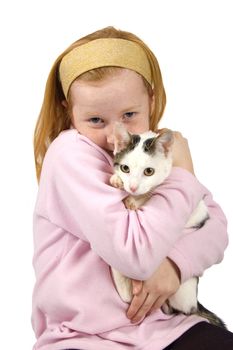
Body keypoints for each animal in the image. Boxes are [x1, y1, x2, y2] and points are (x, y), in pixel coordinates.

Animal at [109, 122, 226, 328]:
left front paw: (139, 199)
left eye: (149, 171)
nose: (132, 188)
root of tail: (194, 303)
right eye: (125, 168)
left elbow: (153, 193)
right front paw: (117, 180)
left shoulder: (198, 210)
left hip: (183, 293)